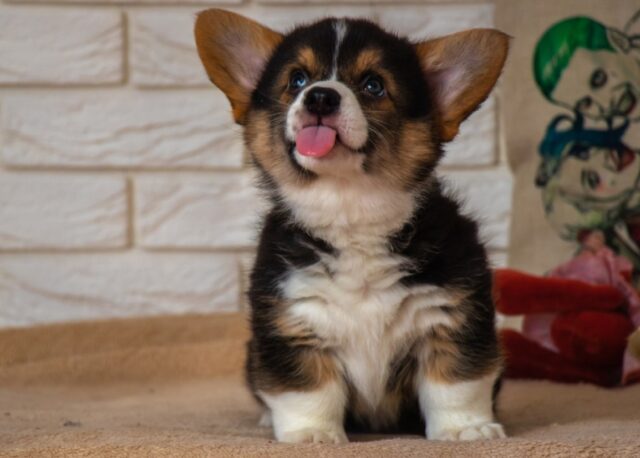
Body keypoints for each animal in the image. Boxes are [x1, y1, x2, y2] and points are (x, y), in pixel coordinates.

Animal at [195, 8, 510, 444]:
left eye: (373, 85)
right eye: (297, 79)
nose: (320, 96)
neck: (350, 210)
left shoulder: (454, 318)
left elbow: (455, 384)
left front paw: (468, 429)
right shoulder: (293, 324)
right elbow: (308, 391)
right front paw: (311, 434)